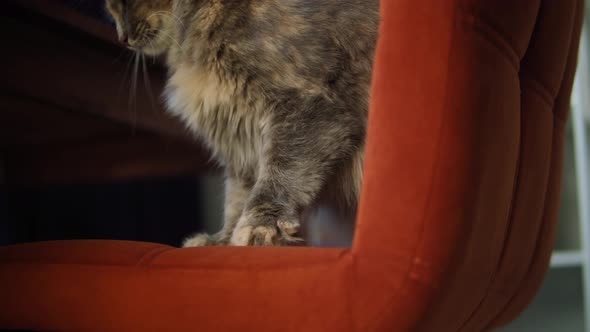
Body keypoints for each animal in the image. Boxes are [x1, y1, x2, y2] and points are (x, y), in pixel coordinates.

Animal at [107, 0, 382, 246]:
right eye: (111, 6)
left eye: (125, 2)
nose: (122, 37)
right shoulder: (237, 136)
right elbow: (237, 197)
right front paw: (222, 241)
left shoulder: (310, 106)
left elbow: (280, 173)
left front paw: (261, 227)